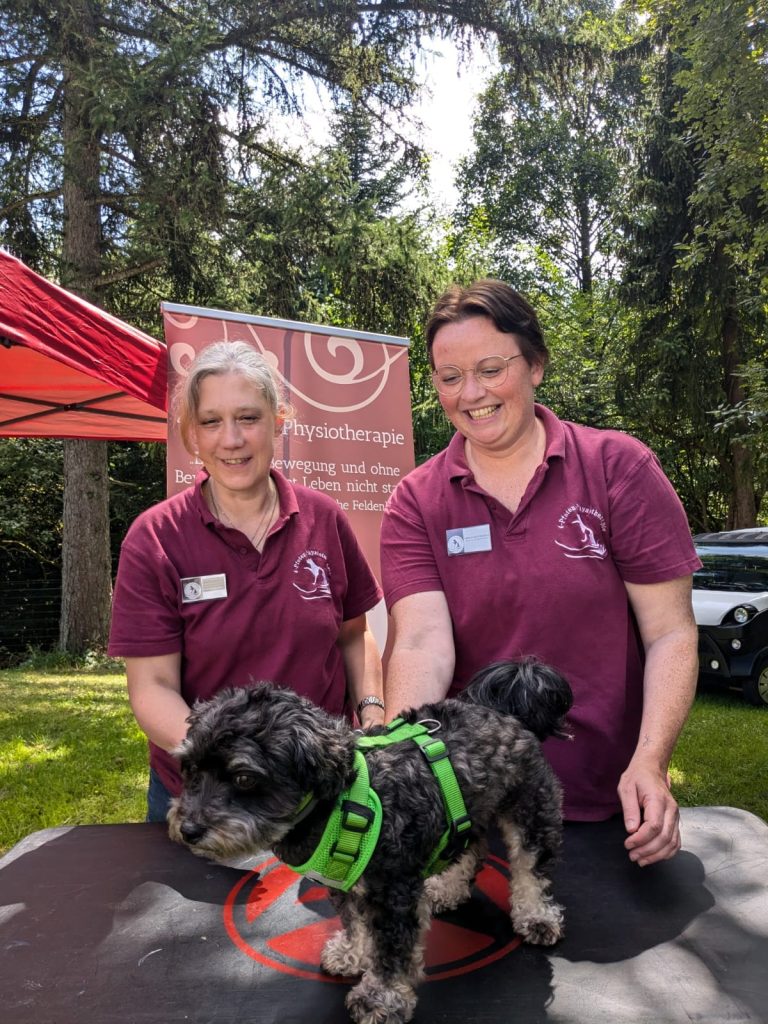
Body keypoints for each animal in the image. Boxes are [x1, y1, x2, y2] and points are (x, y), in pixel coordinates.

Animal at [169, 659, 577, 1019]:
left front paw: (381, 998)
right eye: (189, 768)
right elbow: (357, 924)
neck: (336, 801)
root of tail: (505, 711)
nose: (188, 829)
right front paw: (352, 954)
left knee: (531, 869)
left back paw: (537, 916)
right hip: (467, 810)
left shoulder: (392, 892)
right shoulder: (346, 882)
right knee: (470, 847)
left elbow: (391, 951)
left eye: (243, 777)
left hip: (532, 812)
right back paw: (448, 888)